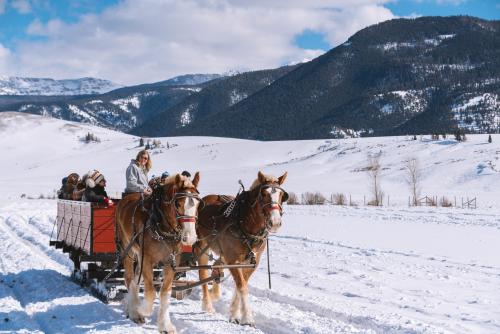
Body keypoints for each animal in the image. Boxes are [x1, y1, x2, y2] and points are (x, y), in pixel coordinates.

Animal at [116, 174, 202, 332]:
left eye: (198, 204)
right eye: (178, 204)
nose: (190, 238)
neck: (161, 225)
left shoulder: (171, 262)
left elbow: (164, 292)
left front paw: (165, 325)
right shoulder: (147, 259)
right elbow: (150, 292)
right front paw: (141, 309)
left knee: (136, 278)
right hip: (127, 248)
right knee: (129, 278)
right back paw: (134, 311)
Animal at [195, 172, 290, 326]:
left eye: (282, 195)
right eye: (263, 194)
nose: (275, 222)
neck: (244, 224)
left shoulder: (252, 261)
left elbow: (241, 284)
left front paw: (234, 313)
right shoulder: (233, 260)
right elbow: (242, 286)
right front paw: (247, 318)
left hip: (223, 254)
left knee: (217, 267)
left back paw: (215, 292)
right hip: (202, 247)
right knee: (203, 274)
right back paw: (208, 305)